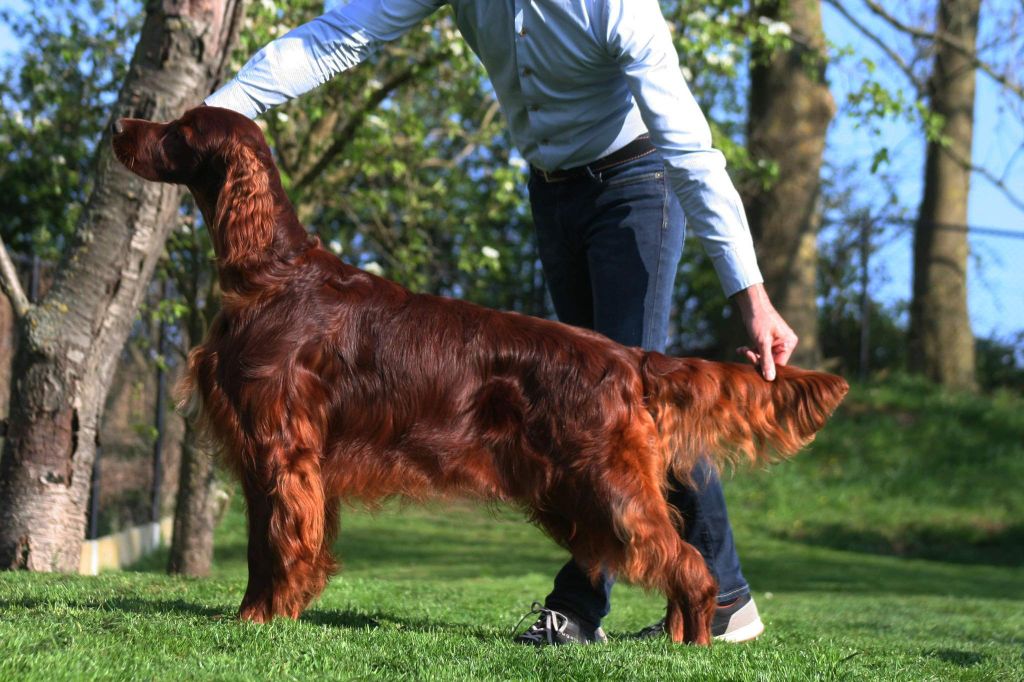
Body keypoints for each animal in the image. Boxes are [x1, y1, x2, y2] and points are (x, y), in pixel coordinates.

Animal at [112, 106, 847, 643]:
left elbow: (272, 546)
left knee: (687, 562)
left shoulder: (280, 448)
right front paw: (272, 613)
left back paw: (689, 644)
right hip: (573, 490)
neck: (272, 273)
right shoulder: (285, 457)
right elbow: (282, 545)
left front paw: (258, 621)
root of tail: (626, 358)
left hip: (603, 485)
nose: (120, 123)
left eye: (179, 130)